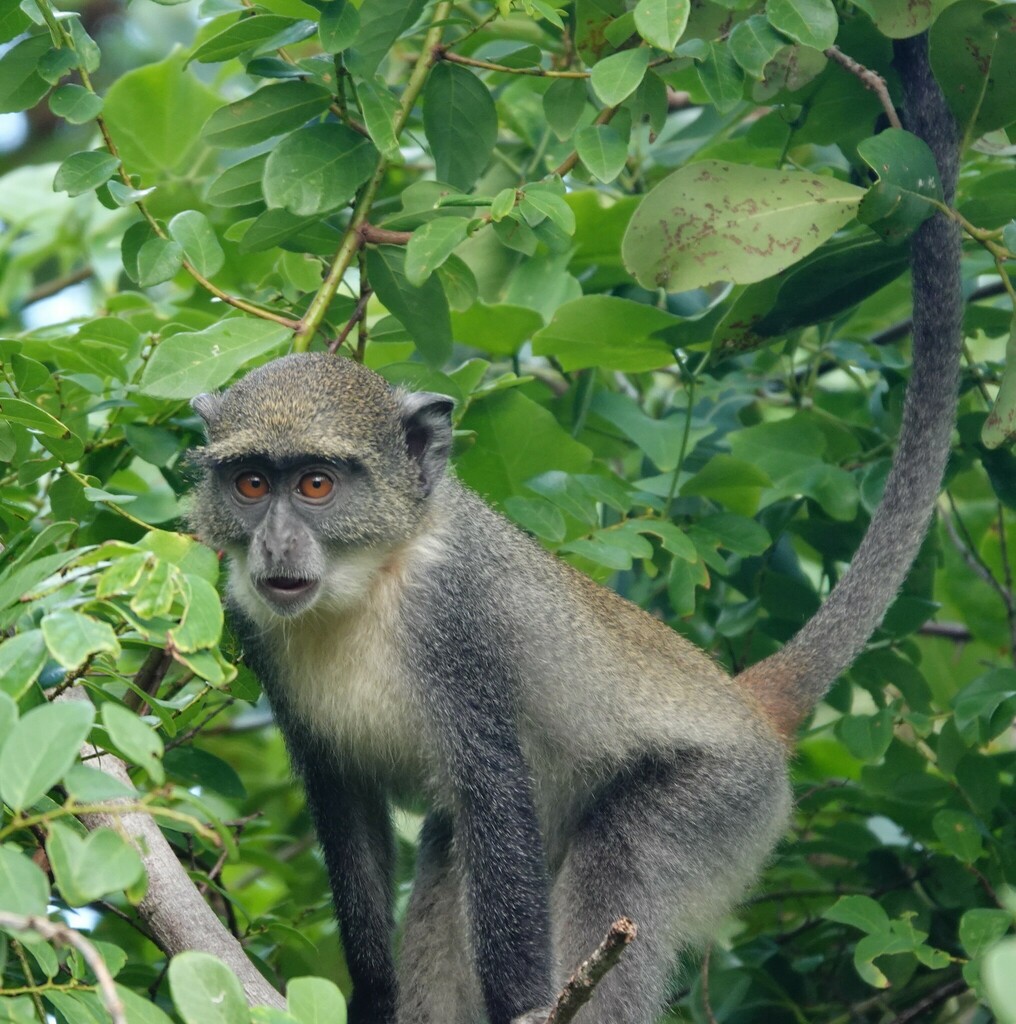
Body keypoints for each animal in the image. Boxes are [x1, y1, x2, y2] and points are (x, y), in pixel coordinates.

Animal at [188, 33, 961, 1024]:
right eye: (252, 484)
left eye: (317, 485)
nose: (279, 548)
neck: (371, 583)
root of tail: (749, 706)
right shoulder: (254, 626)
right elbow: (350, 811)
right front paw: (371, 997)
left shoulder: (458, 618)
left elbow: (494, 802)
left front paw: (523, 1001)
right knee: (449, 868)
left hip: (718, 801)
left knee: (619, 860)